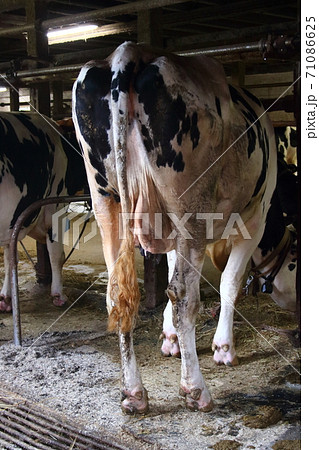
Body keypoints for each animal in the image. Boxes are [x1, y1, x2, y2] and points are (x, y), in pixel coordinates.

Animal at [0, 110, 86, 312]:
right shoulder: (54, 209)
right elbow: (56, 254)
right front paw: (58, 295)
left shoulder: (11, 220)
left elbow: (9, 258)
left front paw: (6, 298)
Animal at [74, 43, 278, 414]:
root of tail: (127, 53)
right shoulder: (256, 217)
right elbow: (229, 283)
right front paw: (224, 348)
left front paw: (170, 339)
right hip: (190, 207)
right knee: (184, 296)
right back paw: (195, 390)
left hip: (105, 199)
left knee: (117, 294)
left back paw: (133, 393)